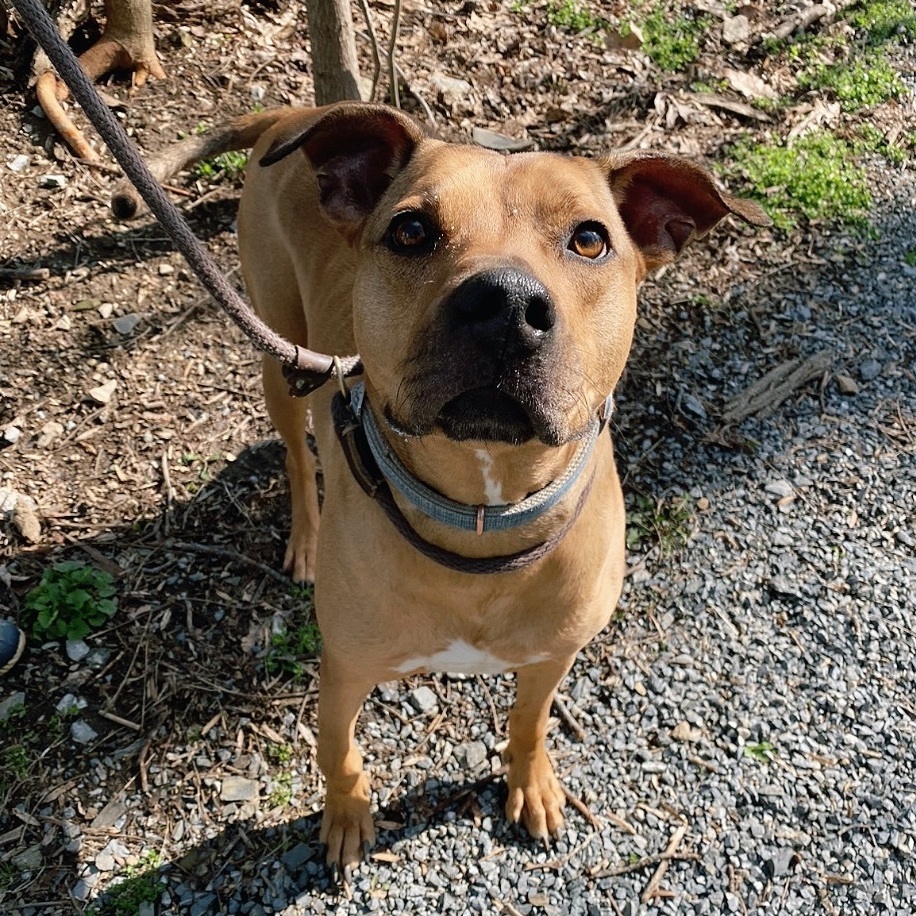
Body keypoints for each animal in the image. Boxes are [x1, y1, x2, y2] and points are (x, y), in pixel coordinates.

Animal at [127, 102, 764, 872]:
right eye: (410, 230)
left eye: (589, 239)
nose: (505, 303)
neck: (482, 512)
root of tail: (302, 112)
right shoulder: (345, 667)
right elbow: (336, 751)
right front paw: (347, 816)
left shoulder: (553, 656)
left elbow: (529, 723)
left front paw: (531, 783)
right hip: (280, 350)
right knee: (294, 451)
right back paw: (306, 536)